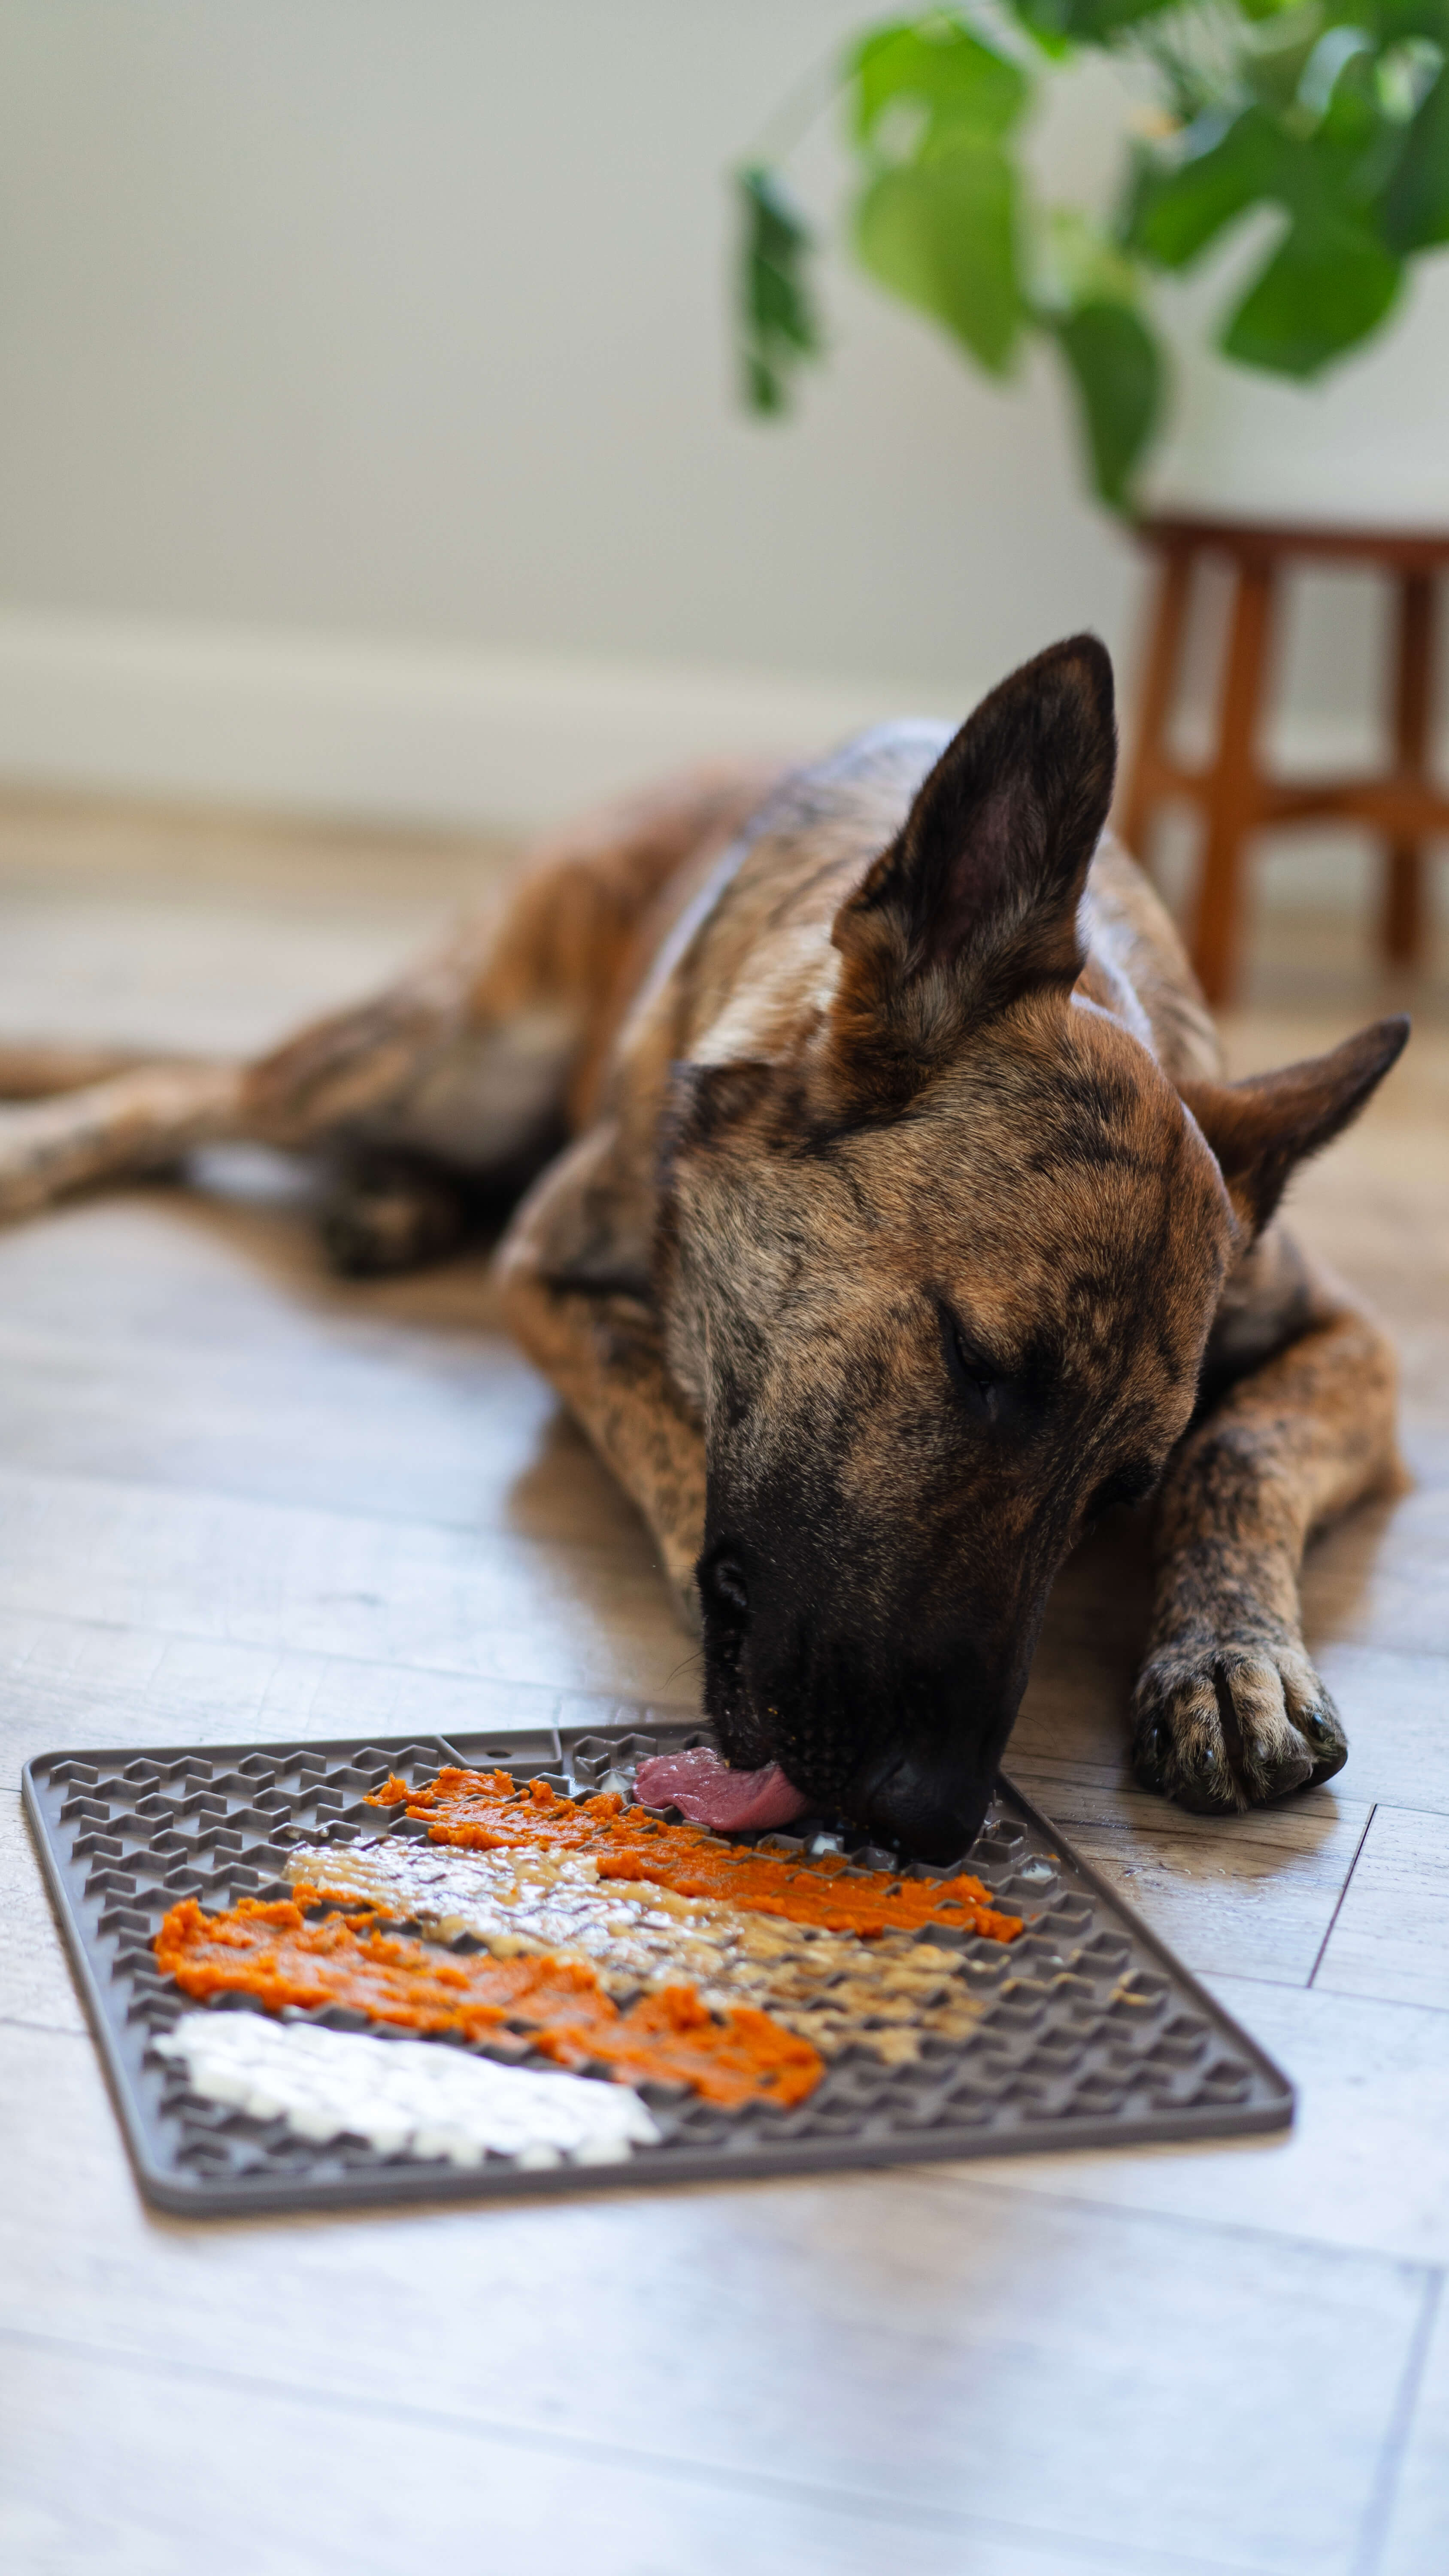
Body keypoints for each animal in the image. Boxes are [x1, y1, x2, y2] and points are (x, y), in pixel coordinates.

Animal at [0, 639, 1410, 1855]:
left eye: (1122, 1485)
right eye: (975, 1361)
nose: (936, 1818)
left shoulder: (1350, 1337)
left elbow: (1242, 1448)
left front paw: (1230, 1657)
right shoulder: (549, 1278)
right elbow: (660, 1415)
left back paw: (393, 1199)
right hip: (440, 1057)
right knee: (190, 1086)